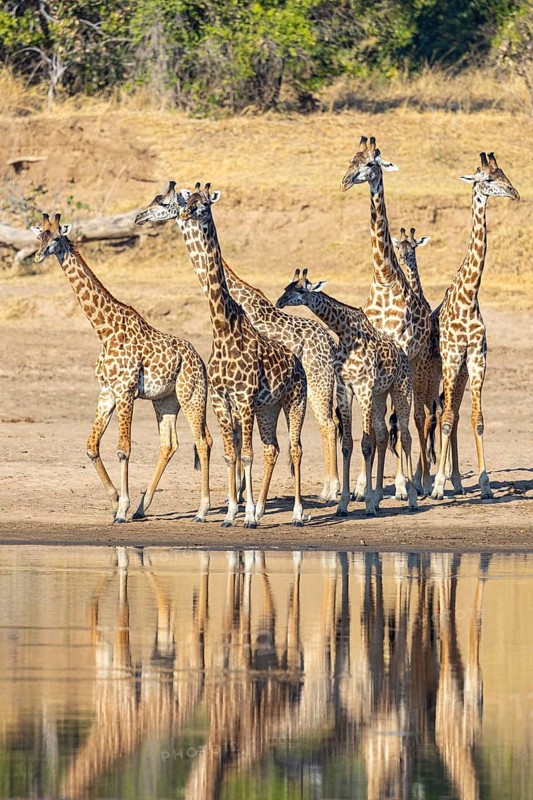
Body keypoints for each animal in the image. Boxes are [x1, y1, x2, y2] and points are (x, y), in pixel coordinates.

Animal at [30, 212, 212, 523]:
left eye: (56, 237)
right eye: (39, 235)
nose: (39, 256)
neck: (105, 331)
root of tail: (199, 359)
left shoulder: (126, 392)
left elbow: (123, 450)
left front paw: (122, 510)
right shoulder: (107, 392)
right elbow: (91, 447)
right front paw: (116, 502)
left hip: (191, 395)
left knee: (202, 441)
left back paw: (201, 510)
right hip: (166, 401)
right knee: (170, 444)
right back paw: (143, 507)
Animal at [135, 182, 340, 502]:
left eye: (163, 202)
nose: (140, 217)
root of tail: (329, 342)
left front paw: (243, 496)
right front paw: (240, 495)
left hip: (317, 381)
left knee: (327, 423)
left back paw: (330, 491)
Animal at [276, 268, 418, 516]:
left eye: (300, 289)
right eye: (287, 287)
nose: (279, 301)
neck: (347, 334)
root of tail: (402, 353)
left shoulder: (364, 388)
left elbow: (366, 444)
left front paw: (367, 503)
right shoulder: (345, 389)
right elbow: (348, 445)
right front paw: (343, 504)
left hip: (401, 389)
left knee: (406, 436)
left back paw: (411, 499)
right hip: (380, 395)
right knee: (383, 436)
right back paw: (379, 498)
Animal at [341, 136, 432, 499]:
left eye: (370, 164)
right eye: (350, 160)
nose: (345, 181)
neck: (383, 276)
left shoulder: (401, 353)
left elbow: (396, 425)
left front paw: (402, 485)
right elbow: (375, 430)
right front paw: (362, 488)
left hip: (417, 365)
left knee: (416, 418)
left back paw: (419, 482)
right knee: (389, 426)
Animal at [431, 152, 519, 500]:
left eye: (505, 174)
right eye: (489, 178)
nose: (515, 193)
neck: (469, 296)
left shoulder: (477, 360)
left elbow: (476, 419)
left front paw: (484, 484)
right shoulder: (453, 357)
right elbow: (446, 418)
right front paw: (437, 487)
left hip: (461, 373)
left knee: (453, 412)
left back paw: (455, 480)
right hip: (441, 369)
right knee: (440, 413)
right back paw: (434, 481)